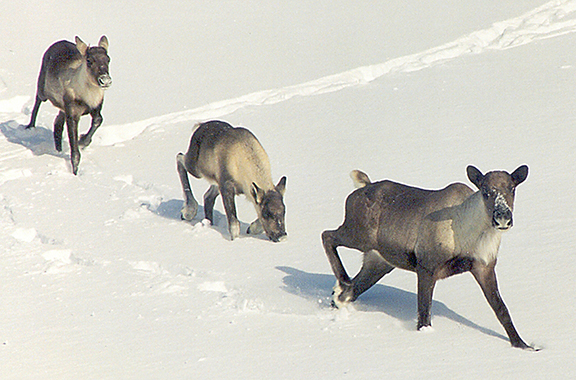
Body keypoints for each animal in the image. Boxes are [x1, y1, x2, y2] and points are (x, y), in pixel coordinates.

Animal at [25, 35, 111, 175]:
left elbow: (99, 119)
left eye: (108, 59)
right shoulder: (72, 113)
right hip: (43, 88)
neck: (88, 97)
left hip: (62, 107)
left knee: (57, 122)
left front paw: (83, 140)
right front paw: (75, 172)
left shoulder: (95, 108)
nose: (105, 80)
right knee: (37, 100)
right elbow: (75, 153)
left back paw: (58, 149)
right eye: (89, 60)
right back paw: (30, 126)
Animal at [320, 165, 536, 348]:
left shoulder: (484, 267)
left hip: (379, 261)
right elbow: (424, 313)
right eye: (485, 191)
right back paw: (342, 278)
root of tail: (362, 186)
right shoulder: (426, 266)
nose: (502, 218)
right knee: (327, 235)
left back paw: (339, 291)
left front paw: (523, 345)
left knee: (349, 292)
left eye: (512, 188)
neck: (473, 237)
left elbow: (501, 310)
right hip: (359, 235)